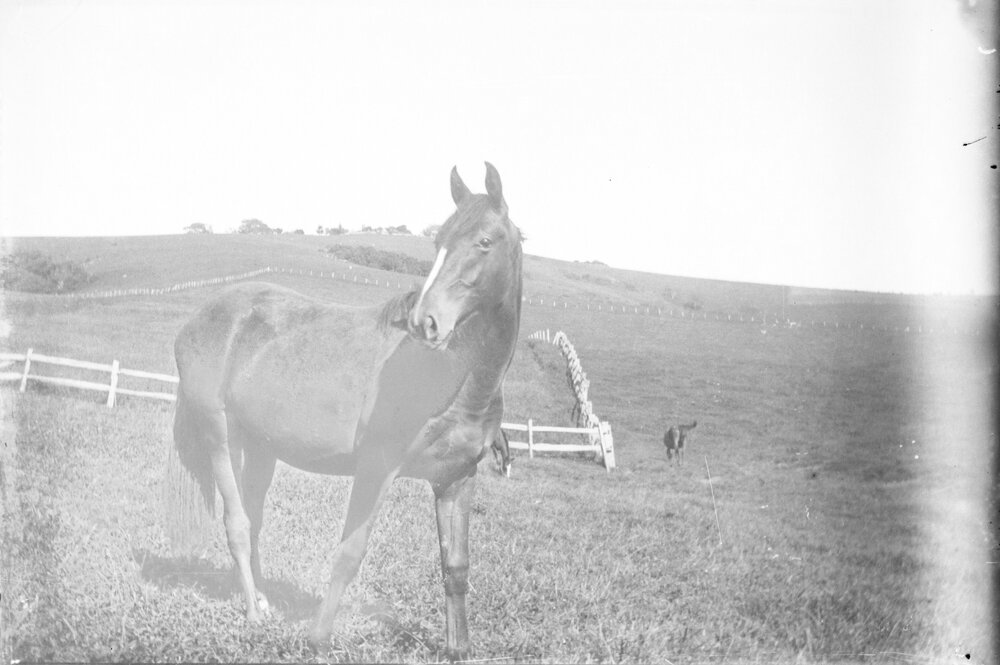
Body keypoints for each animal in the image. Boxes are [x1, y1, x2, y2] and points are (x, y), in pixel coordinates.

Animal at [165, 162, 522, 661]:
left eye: (485, 241)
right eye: (438, 241)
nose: (425, 322)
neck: (457, 376)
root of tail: (201, 318)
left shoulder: (456, 479)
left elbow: (456, 565)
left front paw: (458, 649)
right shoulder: (376, 469)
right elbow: (350, 554)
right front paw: (318, 638)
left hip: (261, 450)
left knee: (254, 521)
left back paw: (260, 597)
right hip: (221, 436)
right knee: (237, 523)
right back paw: (254, 614)